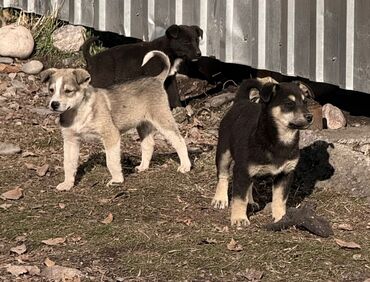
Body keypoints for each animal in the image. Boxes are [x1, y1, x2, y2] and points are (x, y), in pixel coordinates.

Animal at [41, 51, 191, 192]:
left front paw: (117, 180)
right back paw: (143, 167)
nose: (54, 104)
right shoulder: (70, 140)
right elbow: (68, 163)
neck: (78, 112)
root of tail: (156, 79)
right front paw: (67, 184)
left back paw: (185, 166)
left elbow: (111, 161)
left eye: (68, 91)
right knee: (148, 144)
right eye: (51, 90)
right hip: (142, 124)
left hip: (162, 119)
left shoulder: (111, 135)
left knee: (179, 141)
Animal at [212, 78, 314, 226]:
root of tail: (241, 101)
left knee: (249, 184)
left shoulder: (285, 174)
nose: (310, 117)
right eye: (289, 104)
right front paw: (239, 218)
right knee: (223, 175)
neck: (280, 141)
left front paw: (280, 217)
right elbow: (239, 198)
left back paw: (251, 201)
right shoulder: (241, 170)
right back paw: (220, 199)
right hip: (224, 151)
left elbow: (280, 199)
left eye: (305, 102)